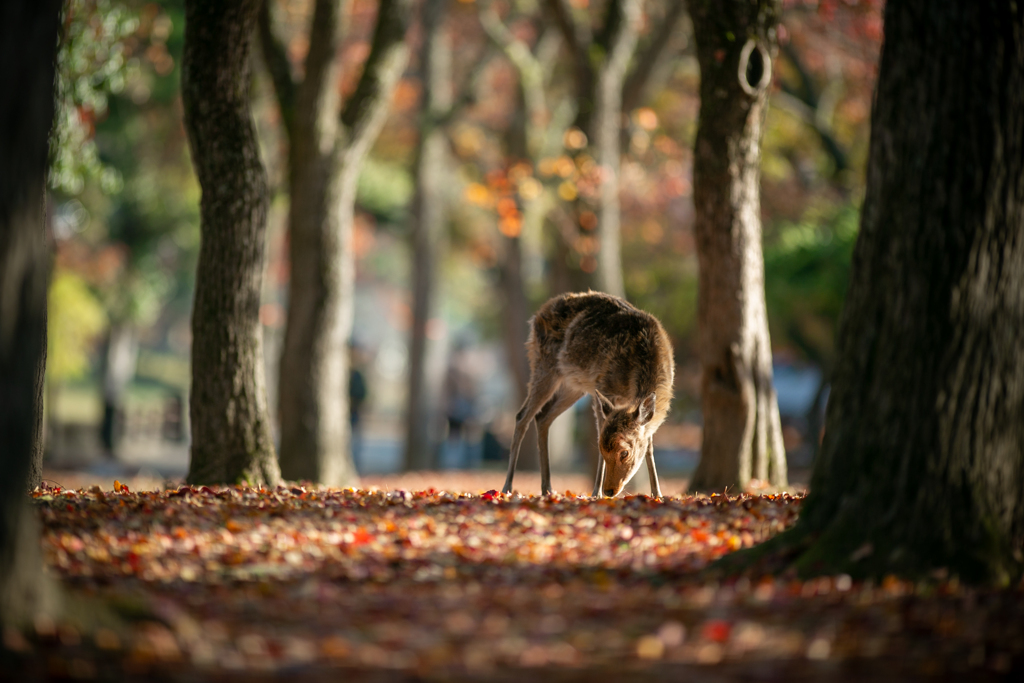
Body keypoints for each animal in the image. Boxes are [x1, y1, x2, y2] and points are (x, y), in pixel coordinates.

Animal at [501, 290, 675, 499]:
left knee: (543, 416)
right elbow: (600, 432)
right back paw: (507, 487)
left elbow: (648, 445)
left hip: (573, 385)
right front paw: (595, 493)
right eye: (602, 448)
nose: (609, 490)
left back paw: (547, 488)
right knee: (522, 416)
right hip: (543, 364)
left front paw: (657, 493)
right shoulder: (603, 386)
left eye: (624, 453)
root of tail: (537, 315)